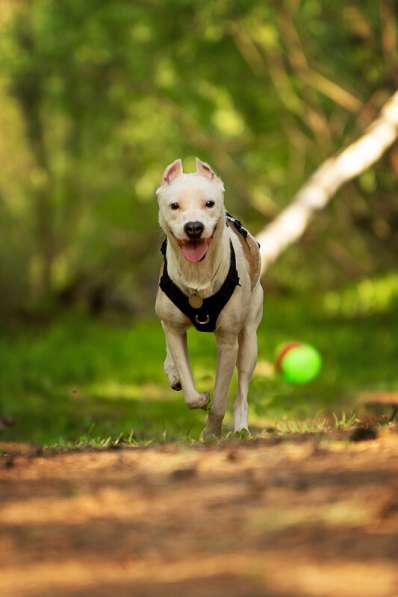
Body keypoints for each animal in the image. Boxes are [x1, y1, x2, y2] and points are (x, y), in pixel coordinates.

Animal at [156, 157, 264, 438]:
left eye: (209, 203)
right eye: (174, 206)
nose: (194, 227)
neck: (198, 275)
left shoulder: (228, 341)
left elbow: (221, 398)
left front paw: (211, 431)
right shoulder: (173, 328)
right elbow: (190, 391)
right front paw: (198, 397)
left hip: (249, 338)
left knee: (242, 391)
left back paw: (241, 427)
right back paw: (172, 372)